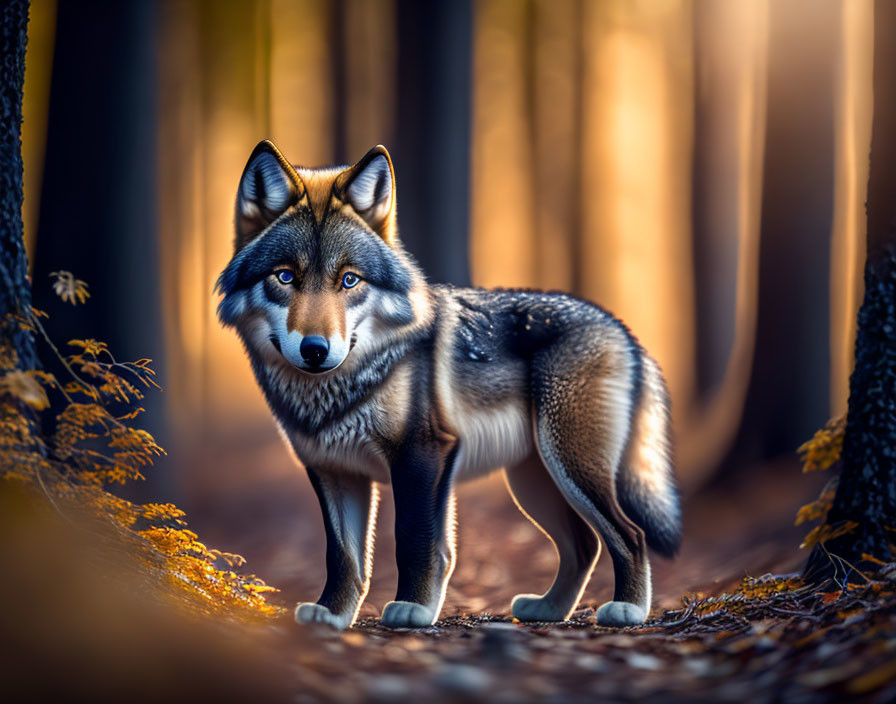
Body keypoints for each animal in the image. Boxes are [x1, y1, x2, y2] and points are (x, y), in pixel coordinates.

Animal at [215, 140, 680, 628]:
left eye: (349, 280)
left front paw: (414, 609)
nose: (315, 349)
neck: (341, 388)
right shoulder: (334, 471)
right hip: (534, 484)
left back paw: (628, 609)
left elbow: (416, 540)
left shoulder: (423, 455)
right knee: (585, 545)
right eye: (286, 277)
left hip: (569, 469)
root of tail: (622, 329)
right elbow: (344, 557)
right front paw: (333, 616)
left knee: (630, 534)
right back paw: (548, 609)